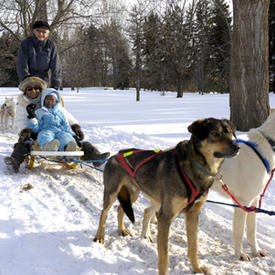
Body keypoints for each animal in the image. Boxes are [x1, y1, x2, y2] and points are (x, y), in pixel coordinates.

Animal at [94, 117, 239, 274]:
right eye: (214, 133)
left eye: (229, 132)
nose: (237, 147)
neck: (195, 167)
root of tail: (116, 154)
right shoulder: (165, 217)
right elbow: (164, 255)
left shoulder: (193, 215)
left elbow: (193, 247)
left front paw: (197, 268)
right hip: (112, 193)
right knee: (104, 213)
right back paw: (99, 237)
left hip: (134, 194)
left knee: (120, 208)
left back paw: (121, 229)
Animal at [211, 111, 275, 262]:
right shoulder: (242, 203)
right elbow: (239, 233)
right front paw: (239, 254)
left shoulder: (253, 201)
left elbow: (252, 231)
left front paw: (256, 251)